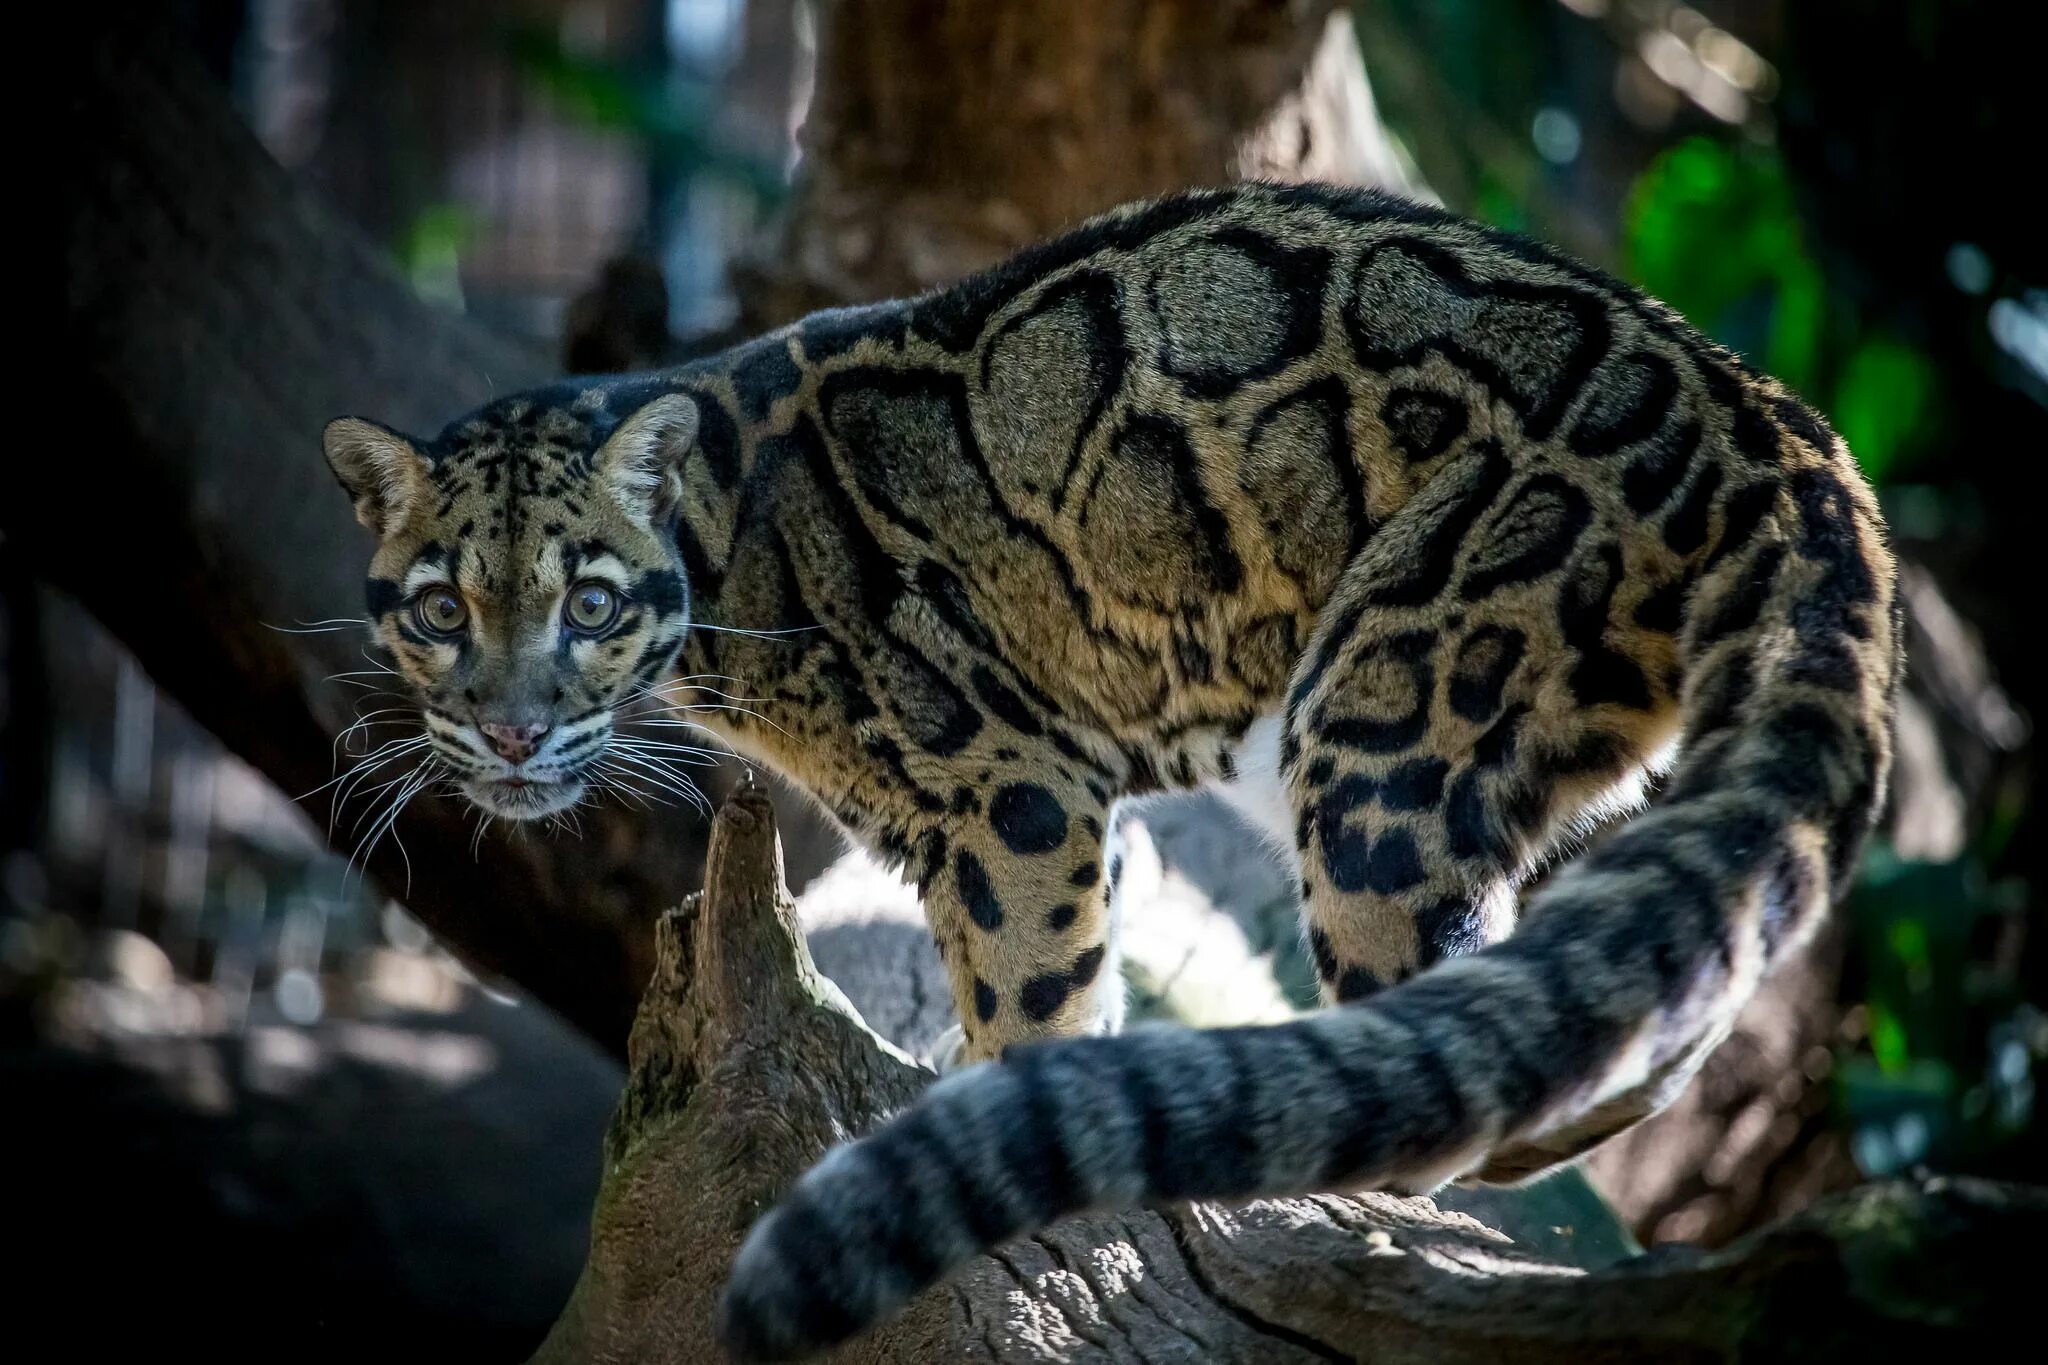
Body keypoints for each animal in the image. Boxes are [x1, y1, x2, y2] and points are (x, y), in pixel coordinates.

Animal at [323, 184, 1900, 1365]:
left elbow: (1031, 988)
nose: (509, 733)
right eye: (440, 609)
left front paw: (1008, 1138)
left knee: (1457, 1032)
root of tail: (1777, 422)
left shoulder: (1003, 784)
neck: (723, 543)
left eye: (590, 604)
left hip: (1384, 717)